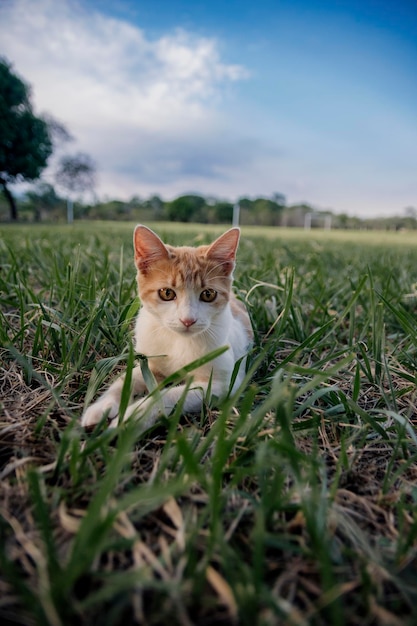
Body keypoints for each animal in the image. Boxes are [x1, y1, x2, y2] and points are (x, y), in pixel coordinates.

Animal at [80, 223, 252, 428]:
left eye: (208, 294)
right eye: (167, 293)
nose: (188, 320)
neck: (178, 341)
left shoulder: (223, 384)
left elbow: (171, 395)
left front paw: (133, 417)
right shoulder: (150, 364)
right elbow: (126, 379)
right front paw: (102, 406)